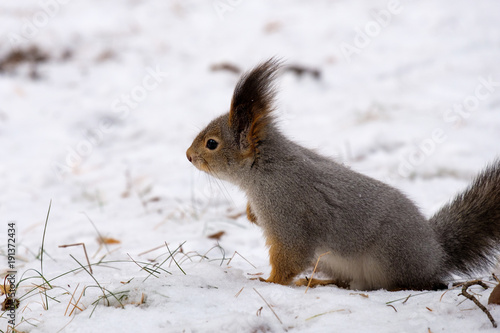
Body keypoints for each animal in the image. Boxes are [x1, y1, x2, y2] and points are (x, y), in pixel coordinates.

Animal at [186, 58, 500, 290]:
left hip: (390, 256)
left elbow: (289, 256)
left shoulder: (288, 214)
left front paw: (269, 282)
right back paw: (318, 282)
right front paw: (251, 214)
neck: (265, 169)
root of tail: (436, 253)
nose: (188, 156)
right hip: (331, 260)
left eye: (211, 144)